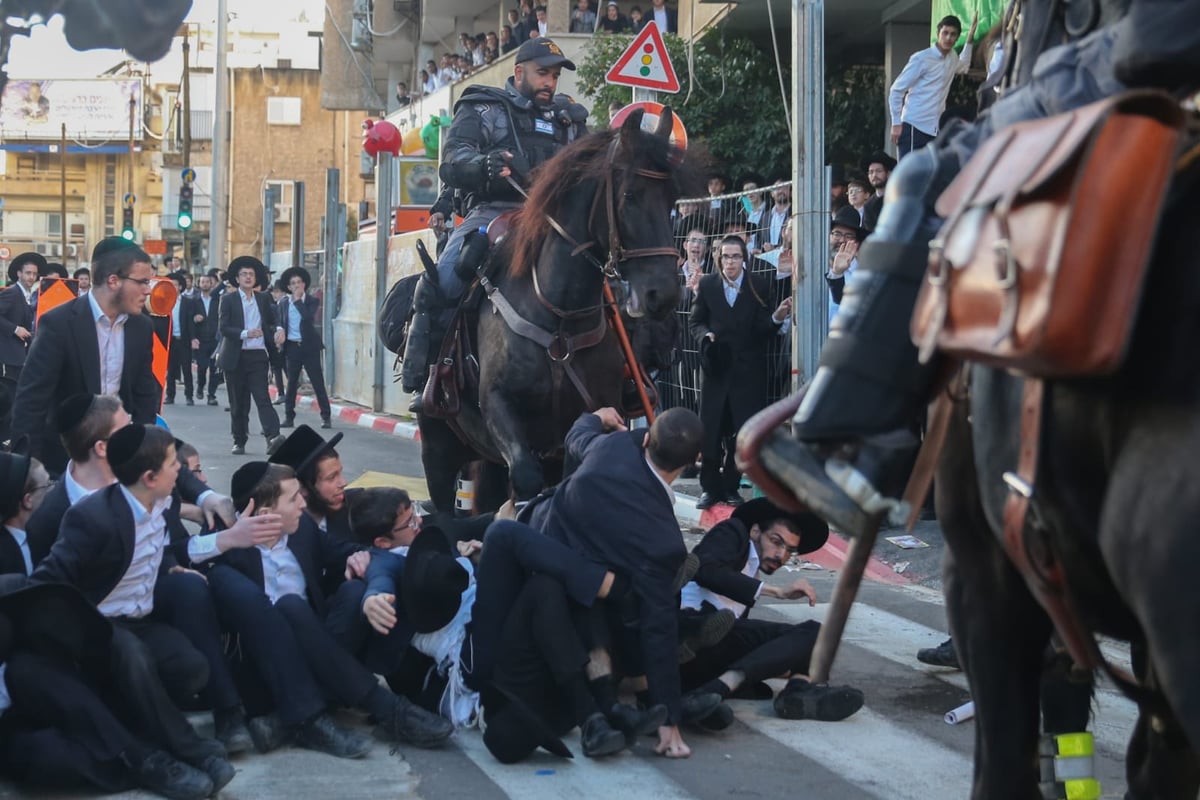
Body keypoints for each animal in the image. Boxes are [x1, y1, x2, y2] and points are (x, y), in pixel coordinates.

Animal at [417, 109, 696, 513]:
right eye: (630, 195)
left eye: (672, 198)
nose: (664, 293)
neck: (559, 318)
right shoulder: (499, 406)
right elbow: (525, 477)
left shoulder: (587, 420)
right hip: (439, 449)